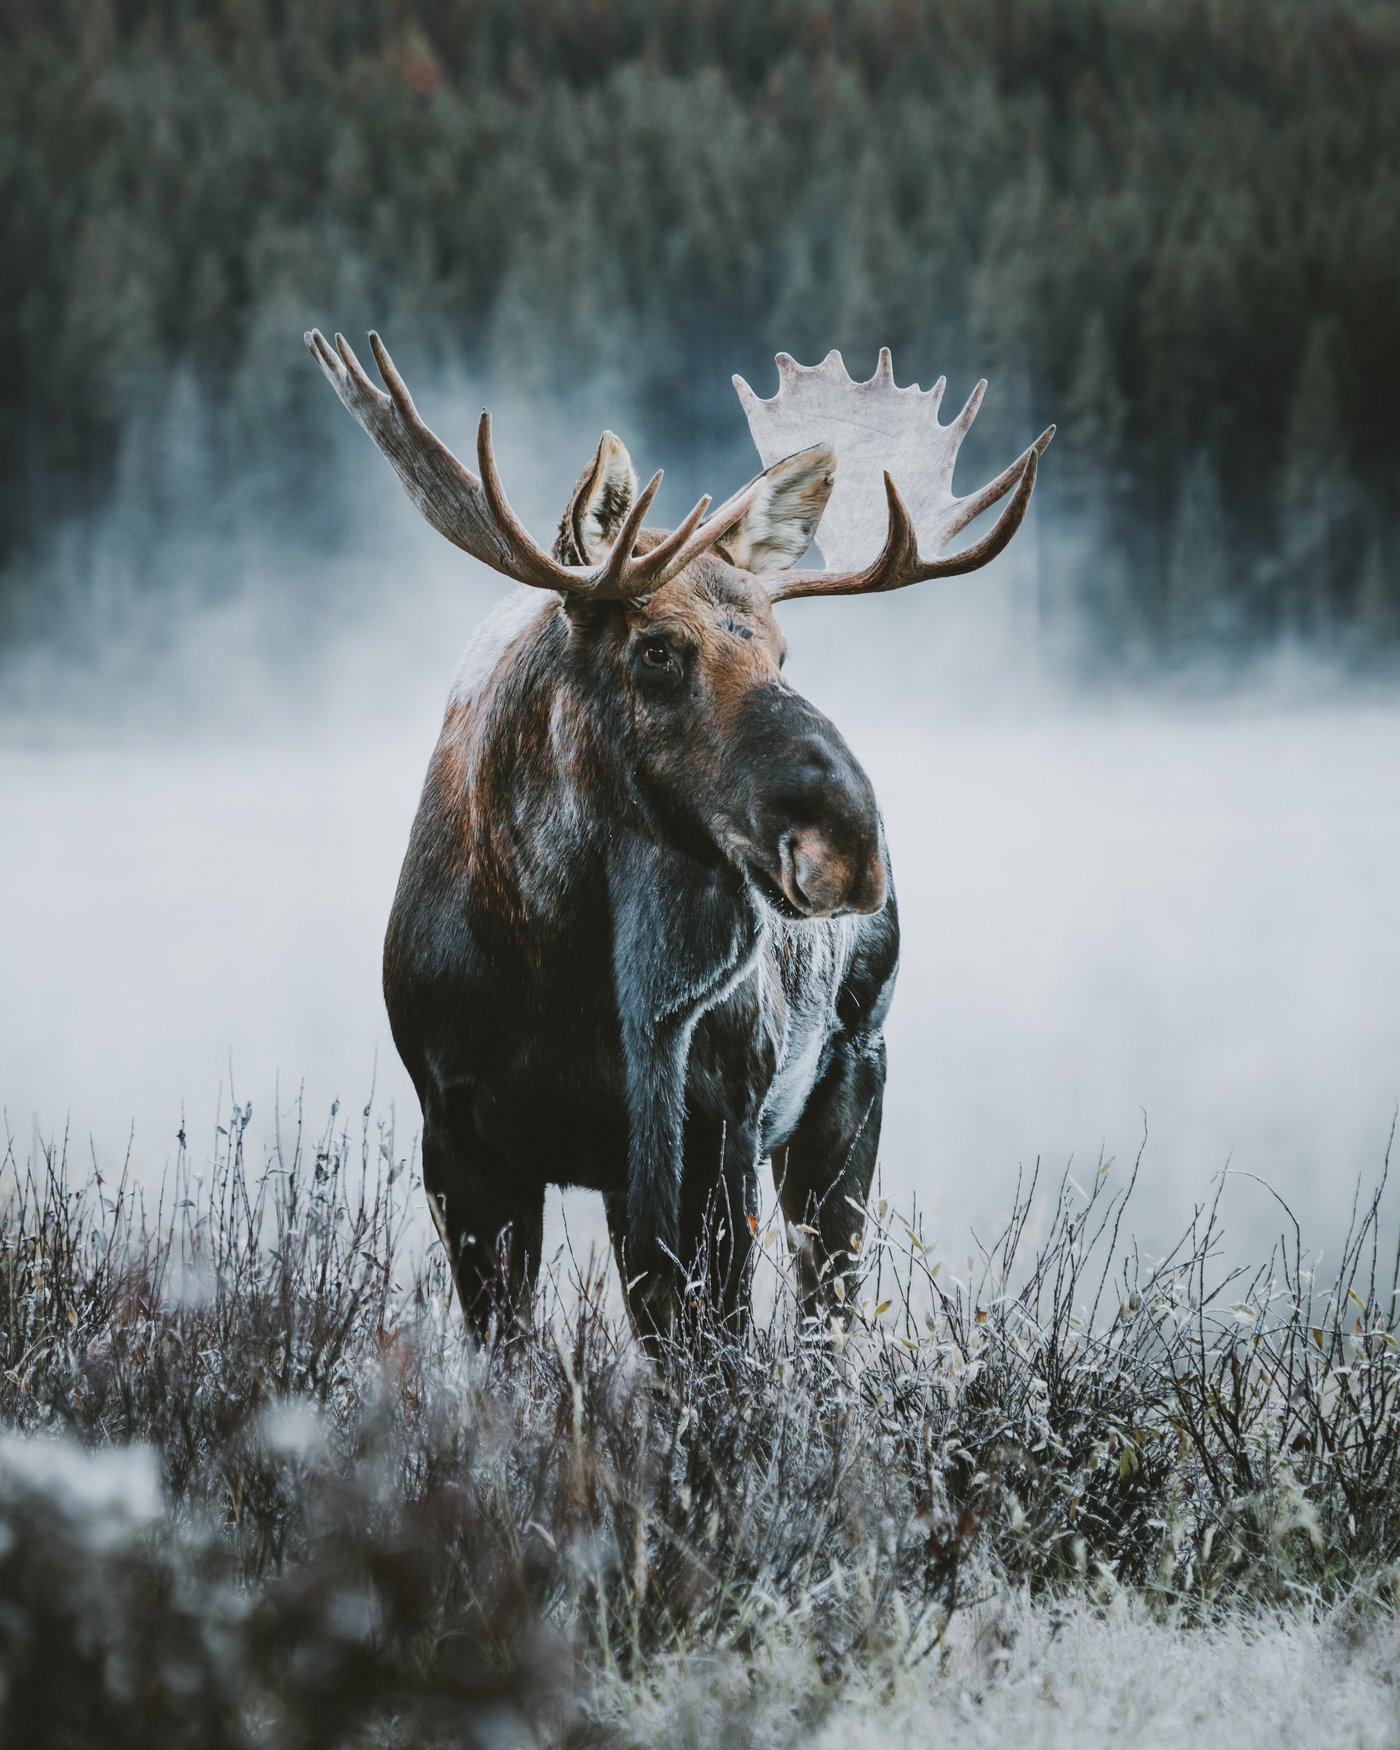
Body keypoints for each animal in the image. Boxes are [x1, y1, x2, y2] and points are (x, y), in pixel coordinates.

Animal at [306, 330, 1050, 1337]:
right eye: (655, 648)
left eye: (782, 650)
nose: (851, 846)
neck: (554, 970)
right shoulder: (459, 1134)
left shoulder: (714, 1125)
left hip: (851, 1072)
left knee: (825, 1314)